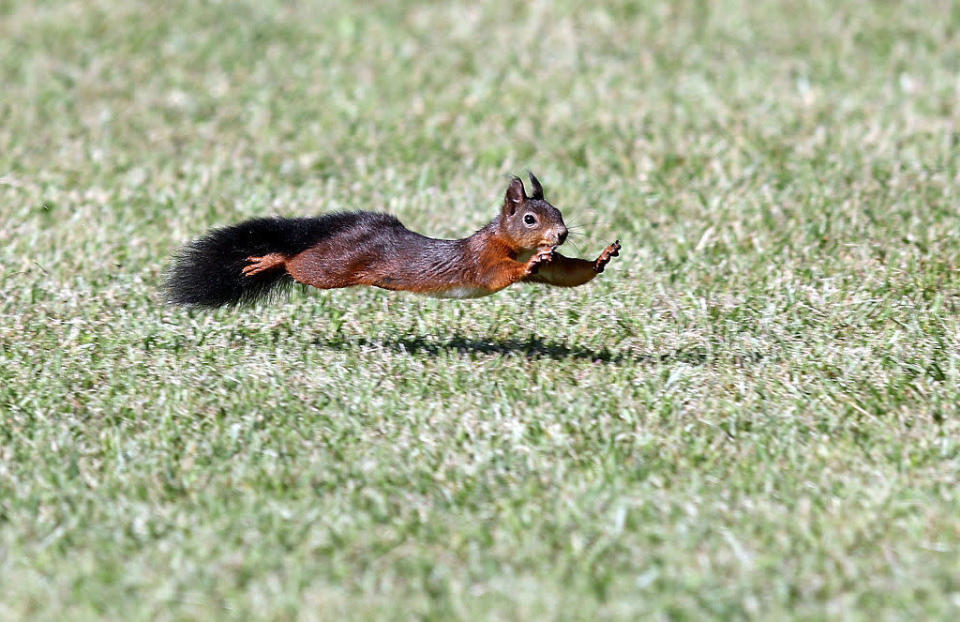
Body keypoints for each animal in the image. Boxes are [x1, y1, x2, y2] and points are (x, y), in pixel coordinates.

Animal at [165, 172, 624, 308]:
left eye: (559, 213)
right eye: (530, 218)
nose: (561, 234)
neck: (512, 243)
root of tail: (359, 230)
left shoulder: (553, 266)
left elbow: (567, 273)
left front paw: (602, 257)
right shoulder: (483, 259)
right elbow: (499, 273)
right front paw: (526, 263)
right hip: (333, 268)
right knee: (299, 262)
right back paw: (268, 260)